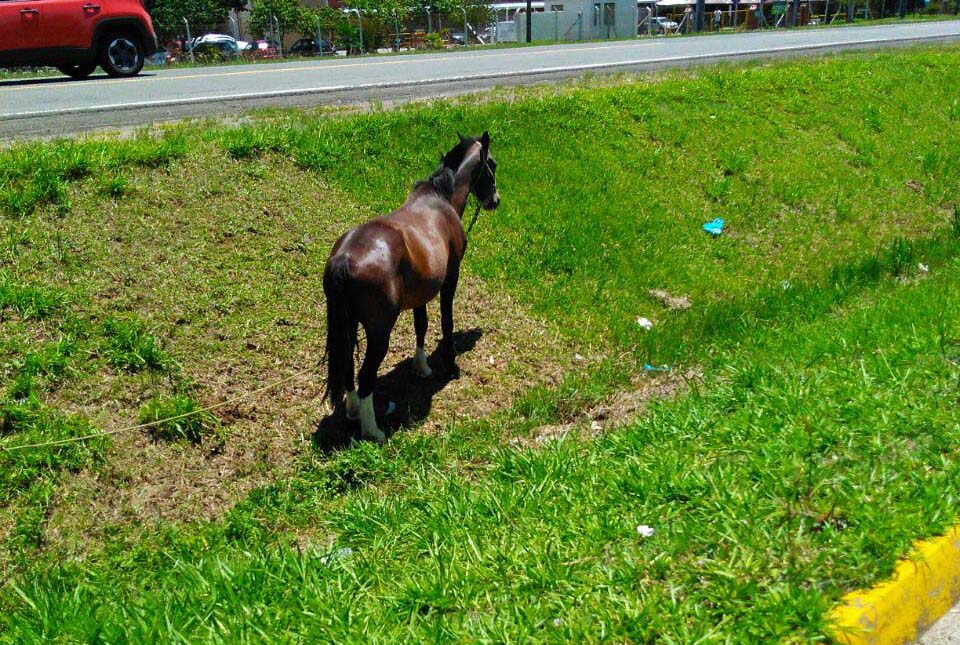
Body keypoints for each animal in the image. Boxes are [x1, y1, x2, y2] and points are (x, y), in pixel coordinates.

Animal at [322, 132, 500, 443]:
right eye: (492, 165)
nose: (495, 200)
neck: (440, 201)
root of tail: (343, 257)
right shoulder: (450, 279)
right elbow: (446, 322)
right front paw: (449, 364)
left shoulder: (421, 293)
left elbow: (422, 325)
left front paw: (422, 366)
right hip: (379, 333)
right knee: (365, 377)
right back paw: (373, 431)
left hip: (348, 324)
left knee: (348, 369)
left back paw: (354, 411)